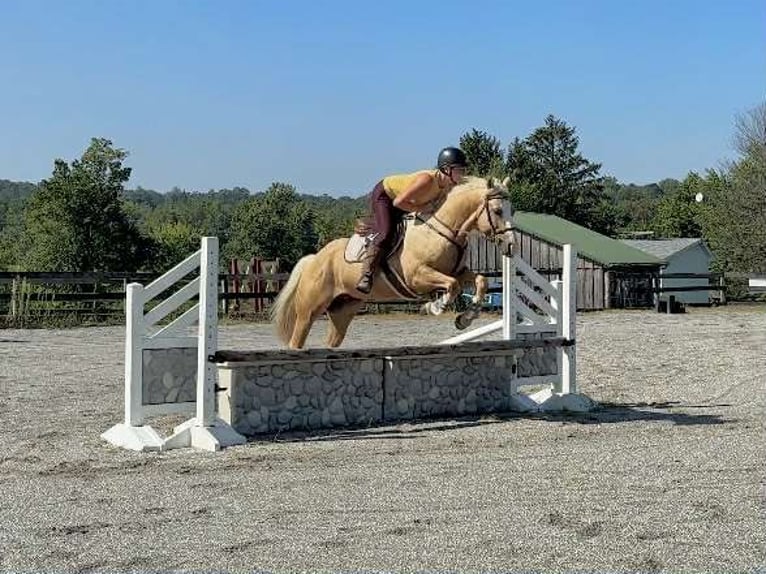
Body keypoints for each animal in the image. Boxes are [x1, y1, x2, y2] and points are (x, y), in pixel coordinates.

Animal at [271, 175, 514, 349]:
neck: (442, 229)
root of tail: (315, 258)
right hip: (309, 310)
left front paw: (465, 318)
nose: (511, 245)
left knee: (332, 341)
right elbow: (452, 287)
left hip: (343, 311)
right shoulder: (417, 277)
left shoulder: (459, 271)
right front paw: (435, 307)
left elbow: (481, 281)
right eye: (497, 211)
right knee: (296, 341)